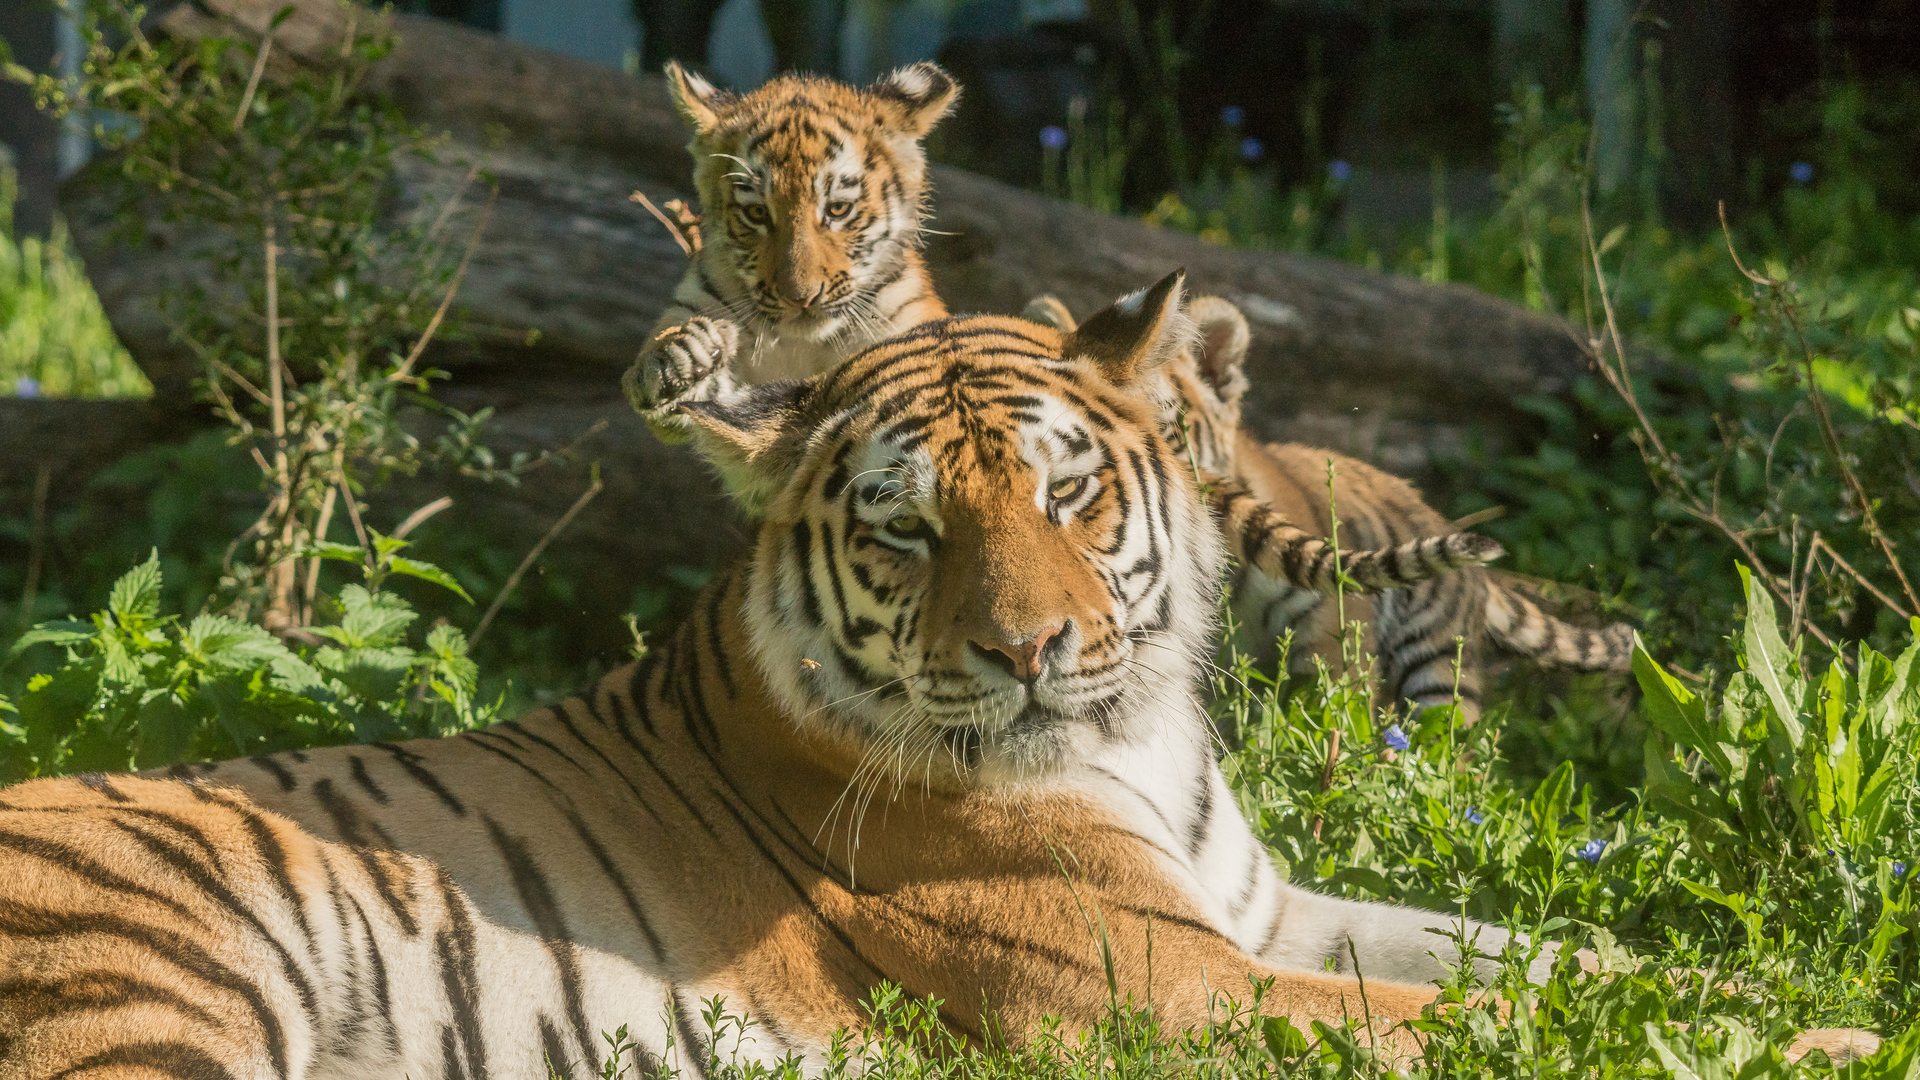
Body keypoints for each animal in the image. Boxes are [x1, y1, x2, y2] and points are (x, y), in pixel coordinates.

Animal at [0, 276, 1543, 1076]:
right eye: (909, 529)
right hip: (146, 982)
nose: (1032, 653)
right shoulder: (1159, 983)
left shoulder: (1257, 914)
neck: (1140, 735)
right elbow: (1445, 1013)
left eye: (1069, 493)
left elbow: (1504, 950)